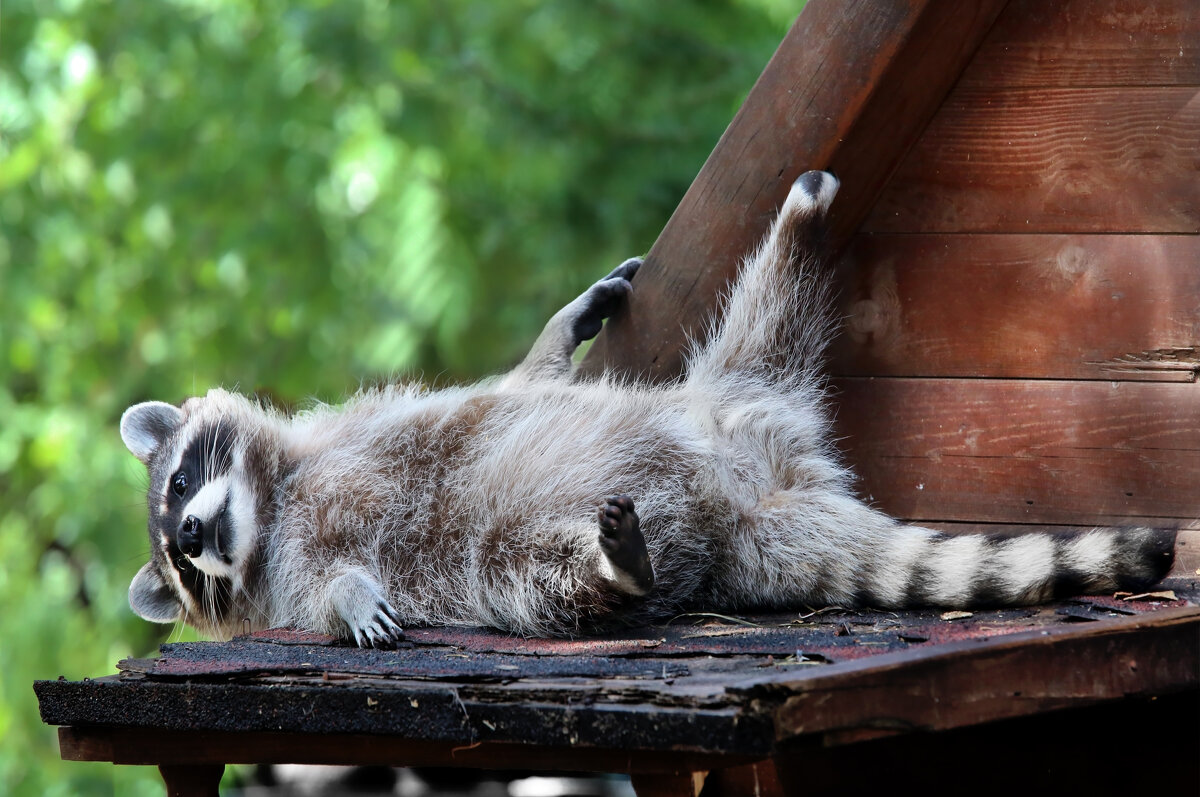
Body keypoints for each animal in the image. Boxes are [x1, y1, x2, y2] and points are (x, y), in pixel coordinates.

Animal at [119, 171, 1171, 643]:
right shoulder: (285, 576)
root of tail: (756, 500)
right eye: (184, 569)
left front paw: (558, 330)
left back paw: (801, 222)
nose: (195, 536)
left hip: (740, 393)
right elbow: (323, 593)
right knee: (537, 575)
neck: (278, 500)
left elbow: (511, 387)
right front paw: (348, 595)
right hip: (581, 535)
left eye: (177, 487)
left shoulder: (369, 424)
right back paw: (614, 571)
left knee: (767, 312)